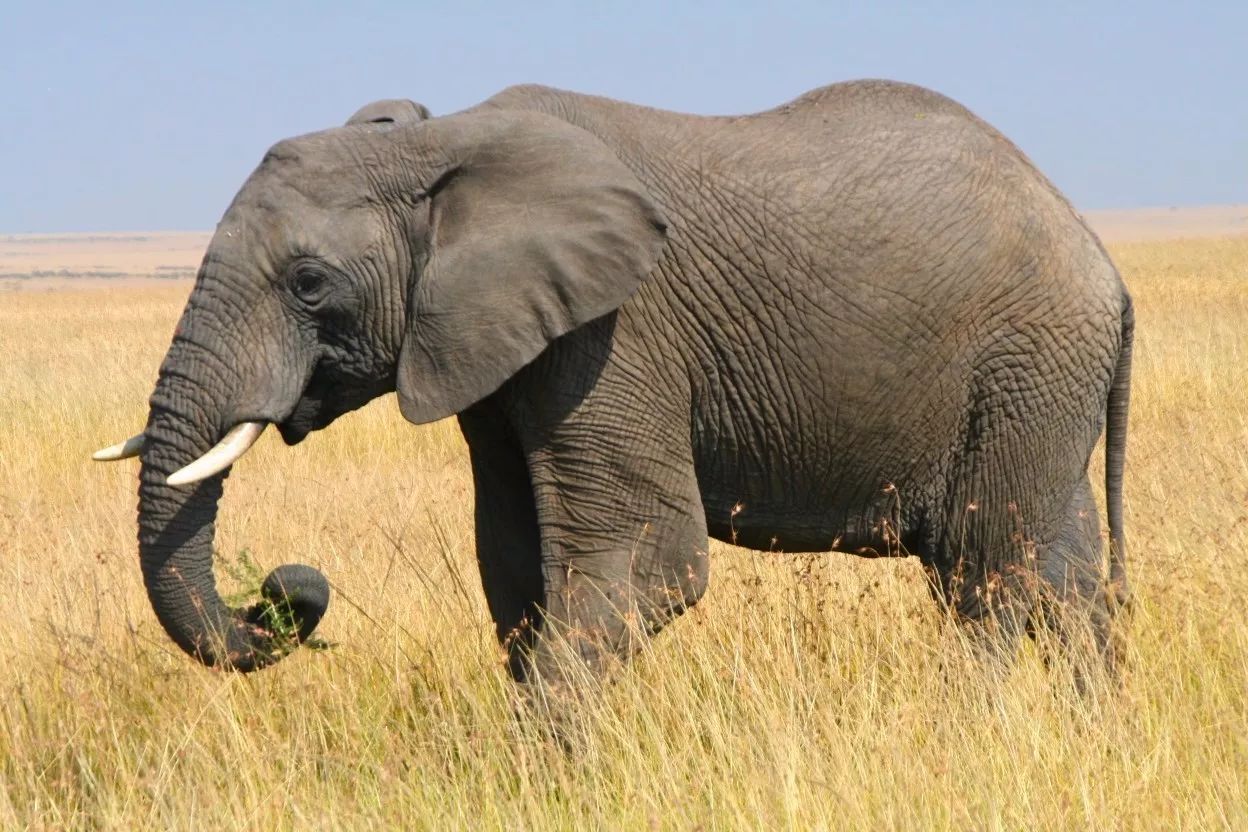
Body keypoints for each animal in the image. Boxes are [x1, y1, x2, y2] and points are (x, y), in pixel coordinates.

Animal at [97, 79, 1133, 688]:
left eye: (309, 283)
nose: (286, 588)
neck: (443, 146)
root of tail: (1104, 264)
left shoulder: (616, 333)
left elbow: (645, 560)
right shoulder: (497, 348)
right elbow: (516, 567)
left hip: (1023, 363)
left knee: (987, 573)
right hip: (1041, 387)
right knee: (1064, 575)